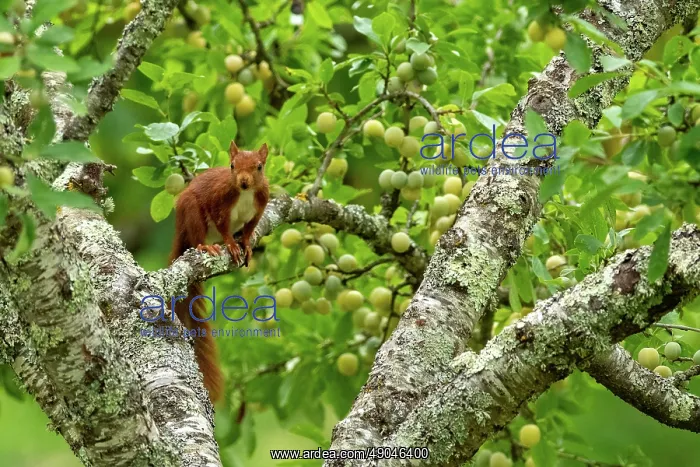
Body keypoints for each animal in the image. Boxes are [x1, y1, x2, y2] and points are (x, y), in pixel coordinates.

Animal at [168, 141, 270, 404]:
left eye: (259, 166)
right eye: (232, 165)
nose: (243, 181)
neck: (245, 194)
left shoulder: (260, 207)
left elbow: (250, 229)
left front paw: (245, 244)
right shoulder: (219, 200)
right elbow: (223, 225)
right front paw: (232, 245)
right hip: (191, 212)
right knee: (197, 236)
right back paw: (206, 247)